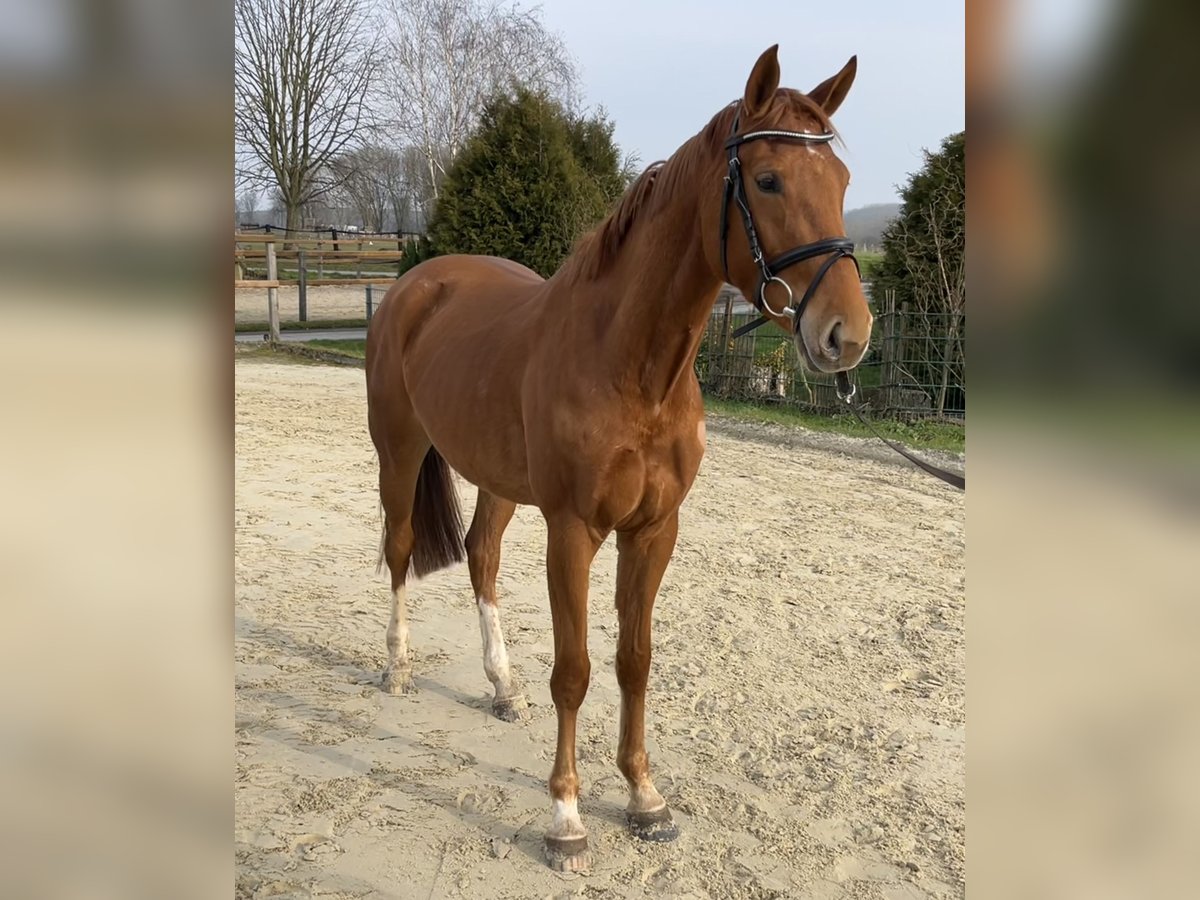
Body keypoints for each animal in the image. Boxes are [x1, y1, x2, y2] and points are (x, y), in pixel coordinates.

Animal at [364, 45, 873, 868]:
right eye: (768, 180)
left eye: (844, 182)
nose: (846, 334)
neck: (630, 367)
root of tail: (416, 283)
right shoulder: (573, 530)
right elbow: (574, 671)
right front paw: (567, 816)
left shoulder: (654, 530)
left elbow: (636, 660)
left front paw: (644, 798)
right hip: (400, 449)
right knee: (402, 548)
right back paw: (397, 667)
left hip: (499, 480)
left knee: (480, 555)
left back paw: (500, 687)